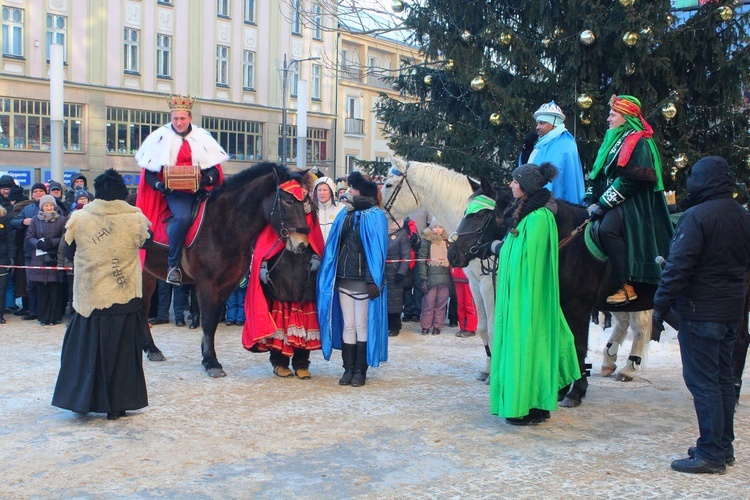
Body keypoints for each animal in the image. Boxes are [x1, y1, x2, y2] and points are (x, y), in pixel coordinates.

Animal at [137, 162, 312, 376]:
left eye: (305, 202)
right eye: (288, 201)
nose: (302, 244)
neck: (224, 225)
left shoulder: (228, 284)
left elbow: (212, 321)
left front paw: (206, 356)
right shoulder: (207, 283)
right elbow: (208, 321)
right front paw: (212, 362)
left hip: (146, 273)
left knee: (143, 307)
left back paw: (151, 349)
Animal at [384, 156, 496, 378]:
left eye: (388, 184)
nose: (377, 212)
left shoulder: (489, 284)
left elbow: (495, 329)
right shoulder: (476, 283)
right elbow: (484, 328)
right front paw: (488, 370)